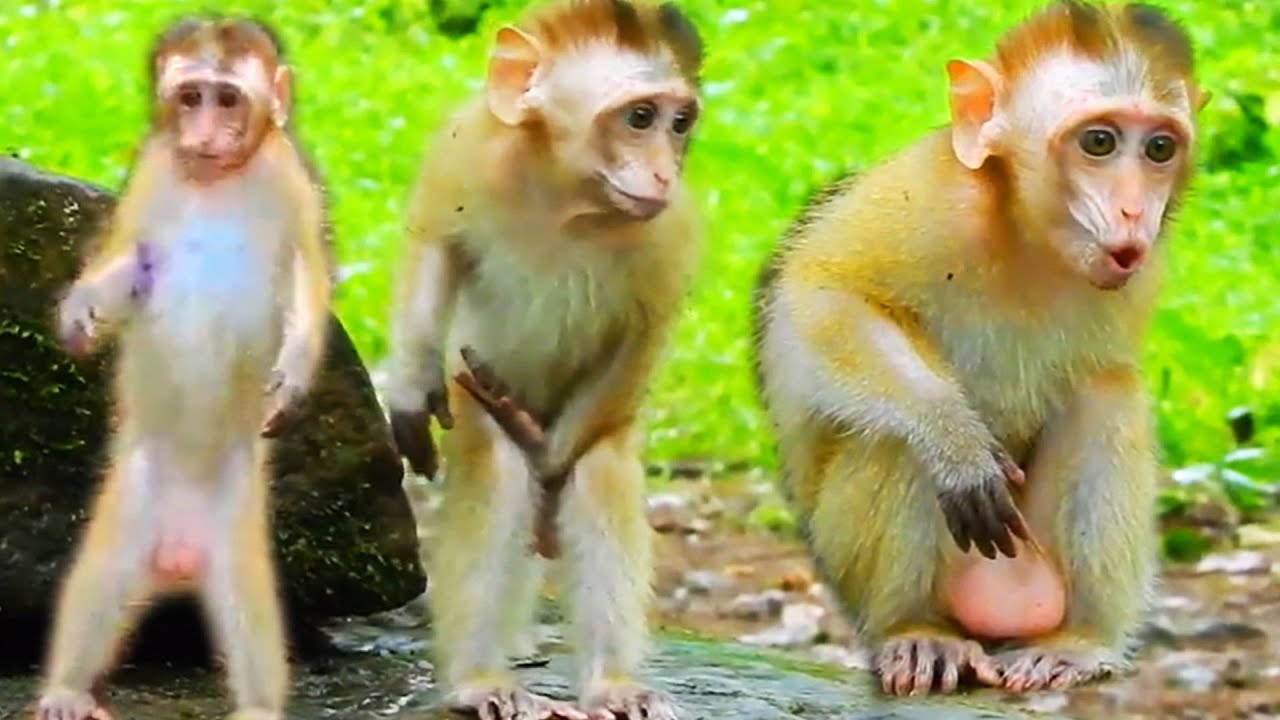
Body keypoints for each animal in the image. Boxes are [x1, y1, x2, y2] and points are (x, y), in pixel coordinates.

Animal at [35, 15, 331, 720]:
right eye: (190, 96)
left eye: (227, 100)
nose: (200, 135)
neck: (217, 181)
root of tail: (177, 561)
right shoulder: (152, 172)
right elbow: (131, 255)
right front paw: (84, 310)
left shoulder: (289, 178)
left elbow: (304, 276)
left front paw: (294, 373)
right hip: (134, 499)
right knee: (99, 578)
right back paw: (65, 690)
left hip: (233, 516)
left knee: (252, 612)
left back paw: (257, 705)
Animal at [382, 1, 704, 717]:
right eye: (640, 117)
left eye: (679, 123)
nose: (665, 171)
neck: (568, 197)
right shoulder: (463, 149)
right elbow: (434, 244)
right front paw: (410, 386)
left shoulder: (668, 233)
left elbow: (644, 333)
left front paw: (548, 463)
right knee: (495, 471)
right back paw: (481, 679)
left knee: (599, 470)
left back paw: (612, 683)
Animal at [750, 0, 1208, 698]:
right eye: (1099, 142)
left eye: (1160, 148)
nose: (1135, 212)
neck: (1028, 236)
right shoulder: (927, 197)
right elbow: (823, 294)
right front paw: (953, 439)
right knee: (890, 435)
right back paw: (916, 630)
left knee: (1104, 393)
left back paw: (1076, 642)